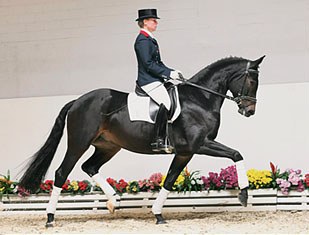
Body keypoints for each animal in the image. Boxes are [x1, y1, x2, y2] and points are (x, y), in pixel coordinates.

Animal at [18, 55, 264, 226]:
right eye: (252, 80)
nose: (249, 111)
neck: (200, 99)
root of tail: (78, 101)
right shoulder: (199, 144)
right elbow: (237, 154)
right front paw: (243, 194)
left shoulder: (185, 152)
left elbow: (169, 180)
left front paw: (158, 215)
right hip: (78, 143)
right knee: (62, 173)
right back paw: (50, 218)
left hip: (109, 146)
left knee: (89, 166)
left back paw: (114, 201)